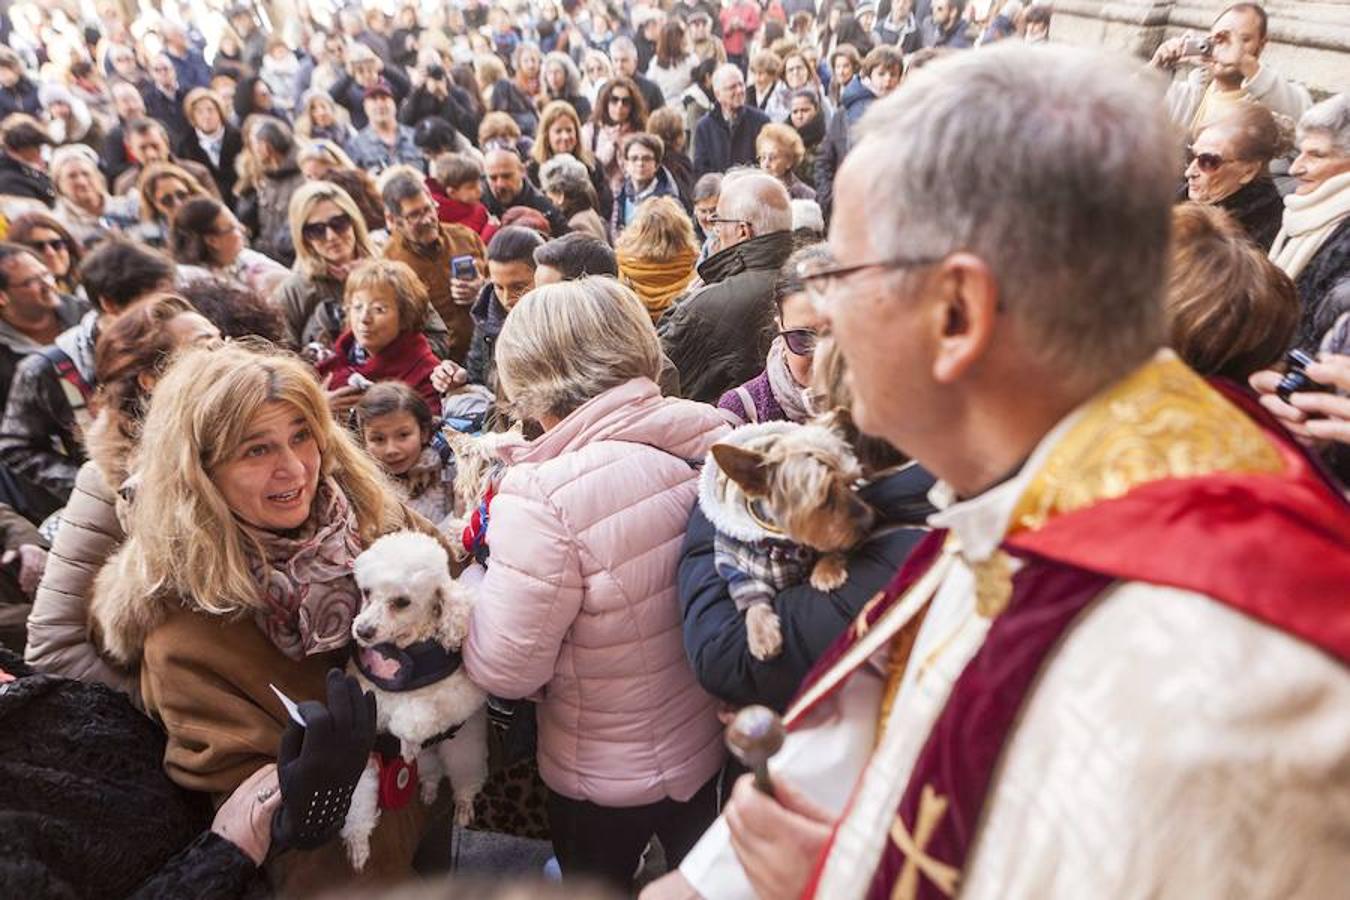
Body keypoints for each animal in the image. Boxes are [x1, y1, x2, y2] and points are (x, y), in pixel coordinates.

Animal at [340, 531, 488, 868]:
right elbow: (357, 784)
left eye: (402, 602)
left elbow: (414, 717)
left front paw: (407, 742)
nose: (362, 631)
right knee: (432, 774)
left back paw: (463, 802)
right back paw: (430, 788)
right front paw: (358, 839)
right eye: (366, 592)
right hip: (430, 762)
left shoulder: (460, 694)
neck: (403, 650)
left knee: (466, 776)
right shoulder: (367, 717)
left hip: (462, 748)